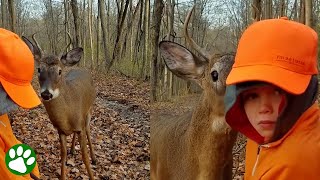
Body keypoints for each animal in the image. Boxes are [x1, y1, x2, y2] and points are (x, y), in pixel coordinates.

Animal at [22, 34, 95, 180]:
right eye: (39, 69)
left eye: (60, 71)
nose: (46, 93)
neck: (66, 116)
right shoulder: (60, 130)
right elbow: (63, 154)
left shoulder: (80, 127)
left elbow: (84, 156)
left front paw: (92, 175)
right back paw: (72, 150)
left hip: (89, 110)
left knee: (89, 130)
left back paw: (94, 158)